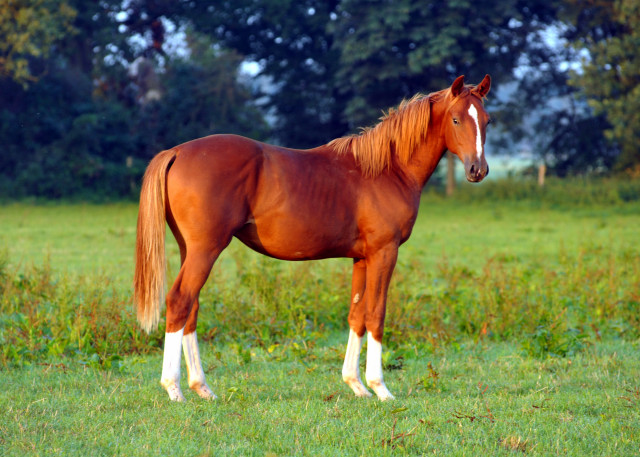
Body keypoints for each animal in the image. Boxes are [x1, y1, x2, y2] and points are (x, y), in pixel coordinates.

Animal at [135, 74, 492, 400]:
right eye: (456, 119)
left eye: (487, 120)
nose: (478, 170)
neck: (388, 169)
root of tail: (177, 151)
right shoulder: (384, 253)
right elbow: (376, 314)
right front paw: (380, 388)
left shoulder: (361, 258)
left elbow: (357, 315)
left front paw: (356, 385)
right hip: (206, 250)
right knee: (180, 301)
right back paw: (174, 388)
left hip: (190, 250)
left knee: (191, 307)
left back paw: (202, 388)